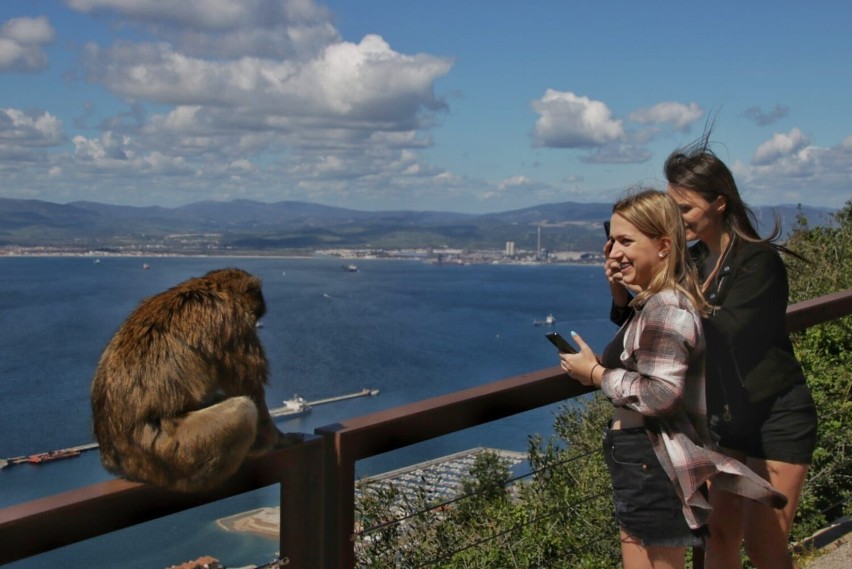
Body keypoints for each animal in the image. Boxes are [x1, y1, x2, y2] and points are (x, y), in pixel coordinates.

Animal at [92, 268, 300, 490]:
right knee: (243, 410)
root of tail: (121, 462)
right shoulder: (233, 324)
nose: (261, 310)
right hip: (180, 450)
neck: (214, 287)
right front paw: (280, 440)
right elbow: (250, 390)